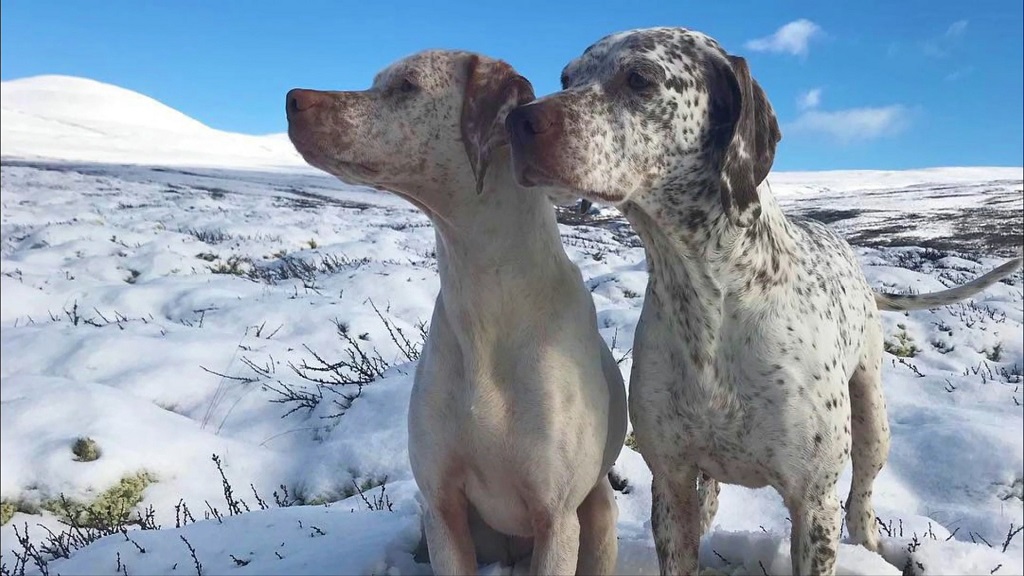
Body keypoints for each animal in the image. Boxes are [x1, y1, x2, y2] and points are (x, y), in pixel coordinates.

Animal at [284, 50, 626, 573]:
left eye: (407, 85)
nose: (292, 99)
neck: (485, 298)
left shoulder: (556, 520)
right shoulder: (443, 510)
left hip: (599, 511)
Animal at [505, 24, 1024, 569]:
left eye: (639, 78)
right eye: (567, 78)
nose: (518, 120)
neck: (709, 302)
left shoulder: (813, 503)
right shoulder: (669, 482)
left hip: (872, 417)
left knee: (862, 497)